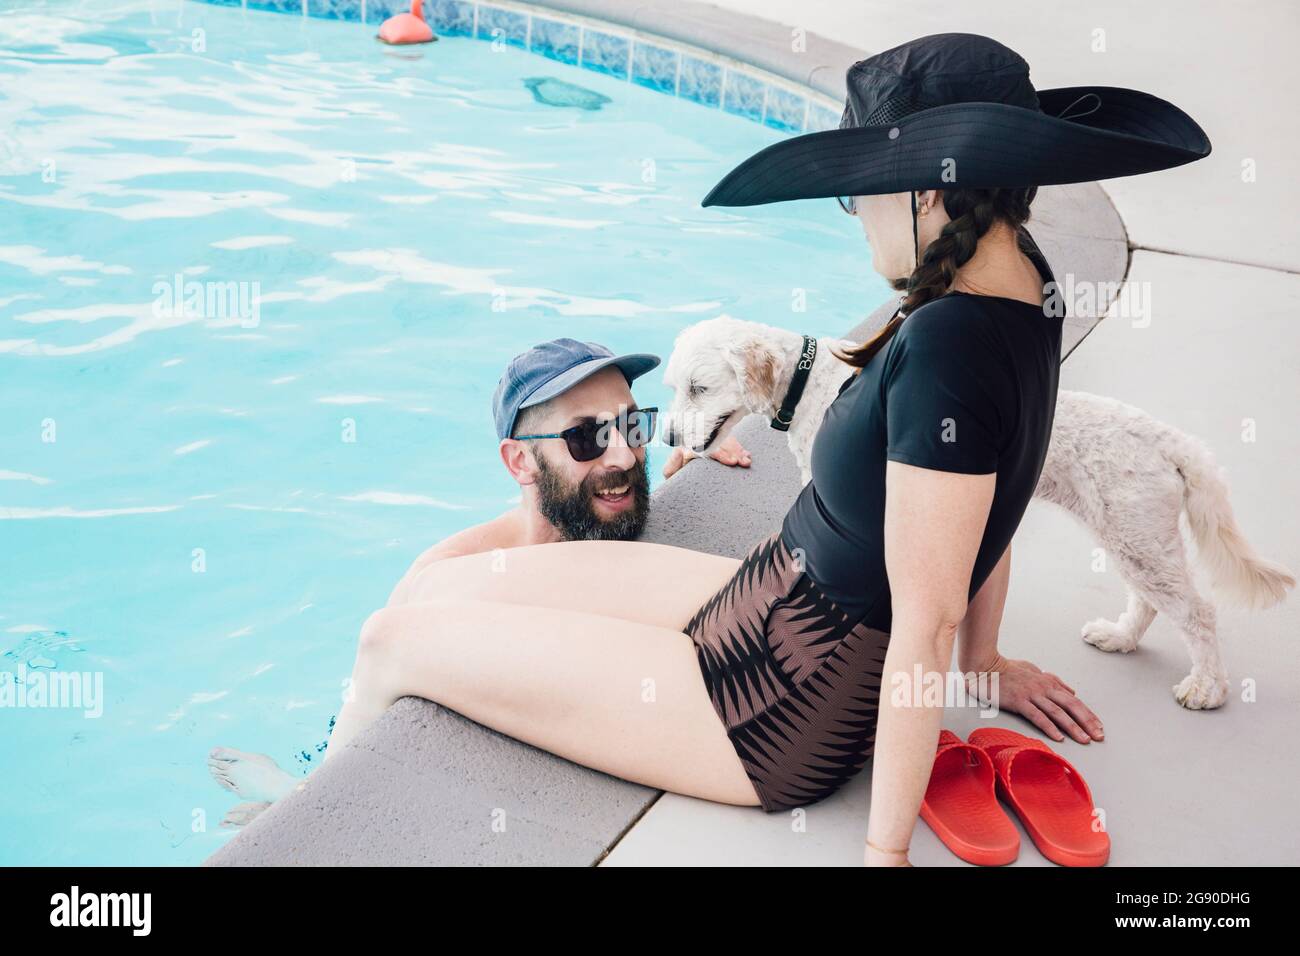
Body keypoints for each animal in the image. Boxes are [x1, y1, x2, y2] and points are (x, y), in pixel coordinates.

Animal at [665, 316, 1294, 712]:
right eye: (674, 387)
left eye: (699, 387)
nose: (666, 435)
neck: (809, 379)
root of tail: (1171, 440)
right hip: (1132, 535)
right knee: (1151, 601)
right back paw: (1120, 637)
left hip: (1136, 536)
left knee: (1199, 614)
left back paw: (1207, 689)